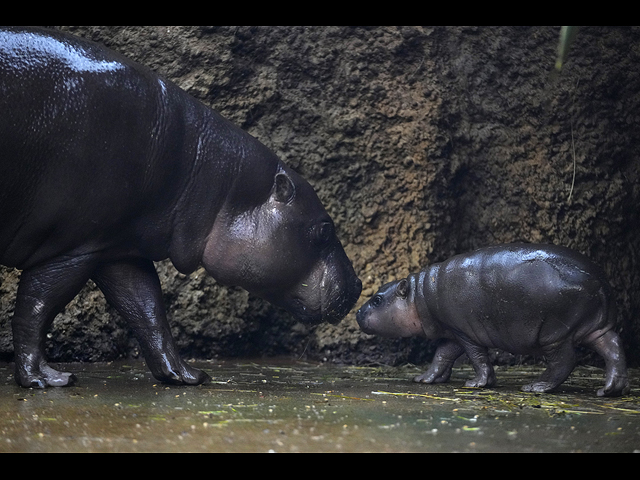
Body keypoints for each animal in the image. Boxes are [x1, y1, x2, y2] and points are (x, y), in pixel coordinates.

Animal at [0, 26, 360, 388]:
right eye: (324, 230)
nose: (358, 285)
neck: (207, 173)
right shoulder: (72, 247)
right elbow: (36, 308)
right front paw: (45, 379)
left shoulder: (116, 246)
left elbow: (147, 310)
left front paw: (188, 376)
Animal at [356, 244, 632, 398]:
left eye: (377, 299)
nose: (357, 313)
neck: (420, 294)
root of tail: (600, 280)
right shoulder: (452, 332)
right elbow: (442, 356)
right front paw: (425, 379)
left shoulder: (465, 332)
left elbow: (477, 357)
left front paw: (477, 383)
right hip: (597, 327)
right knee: (614, 349)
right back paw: (610, 390)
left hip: (554, 333)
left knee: (564, 360)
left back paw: (535, 387)